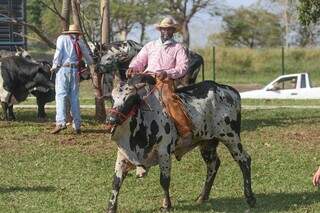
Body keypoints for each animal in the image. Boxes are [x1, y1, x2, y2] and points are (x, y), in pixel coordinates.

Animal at [105, 74, 255, 211]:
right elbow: (116, 182)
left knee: (244, 160)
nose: (111, 119)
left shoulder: (164, 152)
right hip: (207, 142)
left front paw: (167, 205)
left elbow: (164, 180)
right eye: (112, 98)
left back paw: (250, 198)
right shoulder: (123, 154)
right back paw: (202, 197)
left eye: (130, 99)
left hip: (231, 137)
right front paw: (111, 207)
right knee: (213, 164)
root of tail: (230, 91)